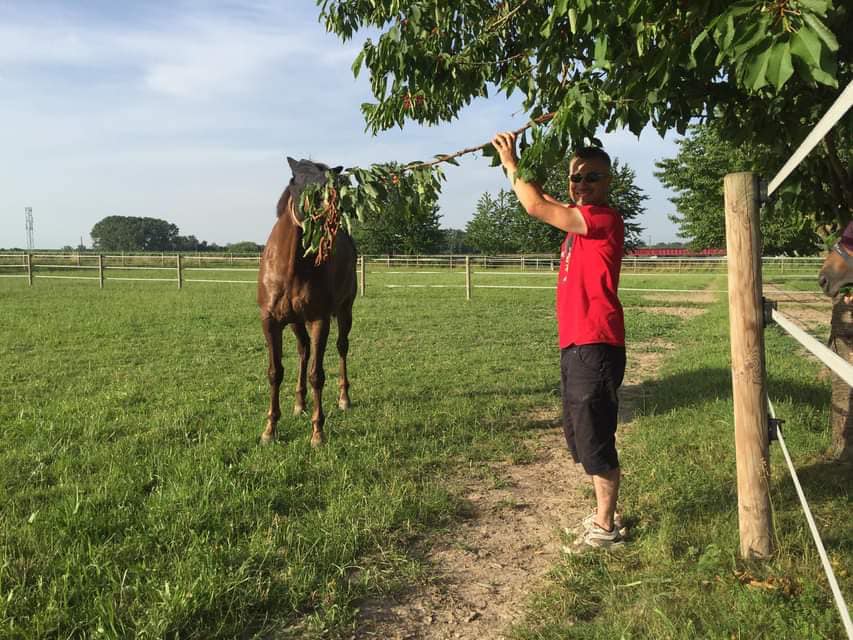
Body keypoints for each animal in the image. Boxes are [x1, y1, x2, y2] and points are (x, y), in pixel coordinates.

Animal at [256, 156, 356, 444]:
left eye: (332, 185)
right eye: (296, 182)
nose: (328, 218)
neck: (291, 269)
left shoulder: (319, 320)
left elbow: (317, 375)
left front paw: (317, 432)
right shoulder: (270, 321)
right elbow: (275, 372)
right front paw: (270, 429)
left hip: (345, 311)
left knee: (342, 347)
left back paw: (344, 399)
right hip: (295, 322)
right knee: (303, 350)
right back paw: (299, 404)